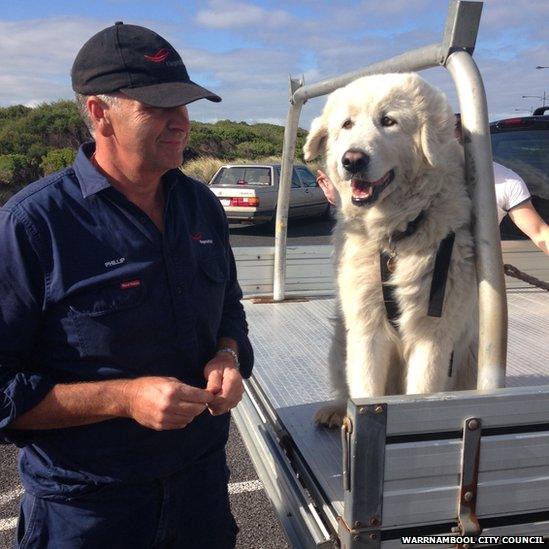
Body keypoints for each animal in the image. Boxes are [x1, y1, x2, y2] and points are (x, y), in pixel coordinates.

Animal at [302, 71, 478, 428]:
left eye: (388, 121)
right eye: (347, 124)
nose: (352, 160)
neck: (395, 236)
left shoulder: (432, 333)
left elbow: (422, 392)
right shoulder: (366, 327)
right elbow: (364, 389)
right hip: (340, 341)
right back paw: (335, 411)